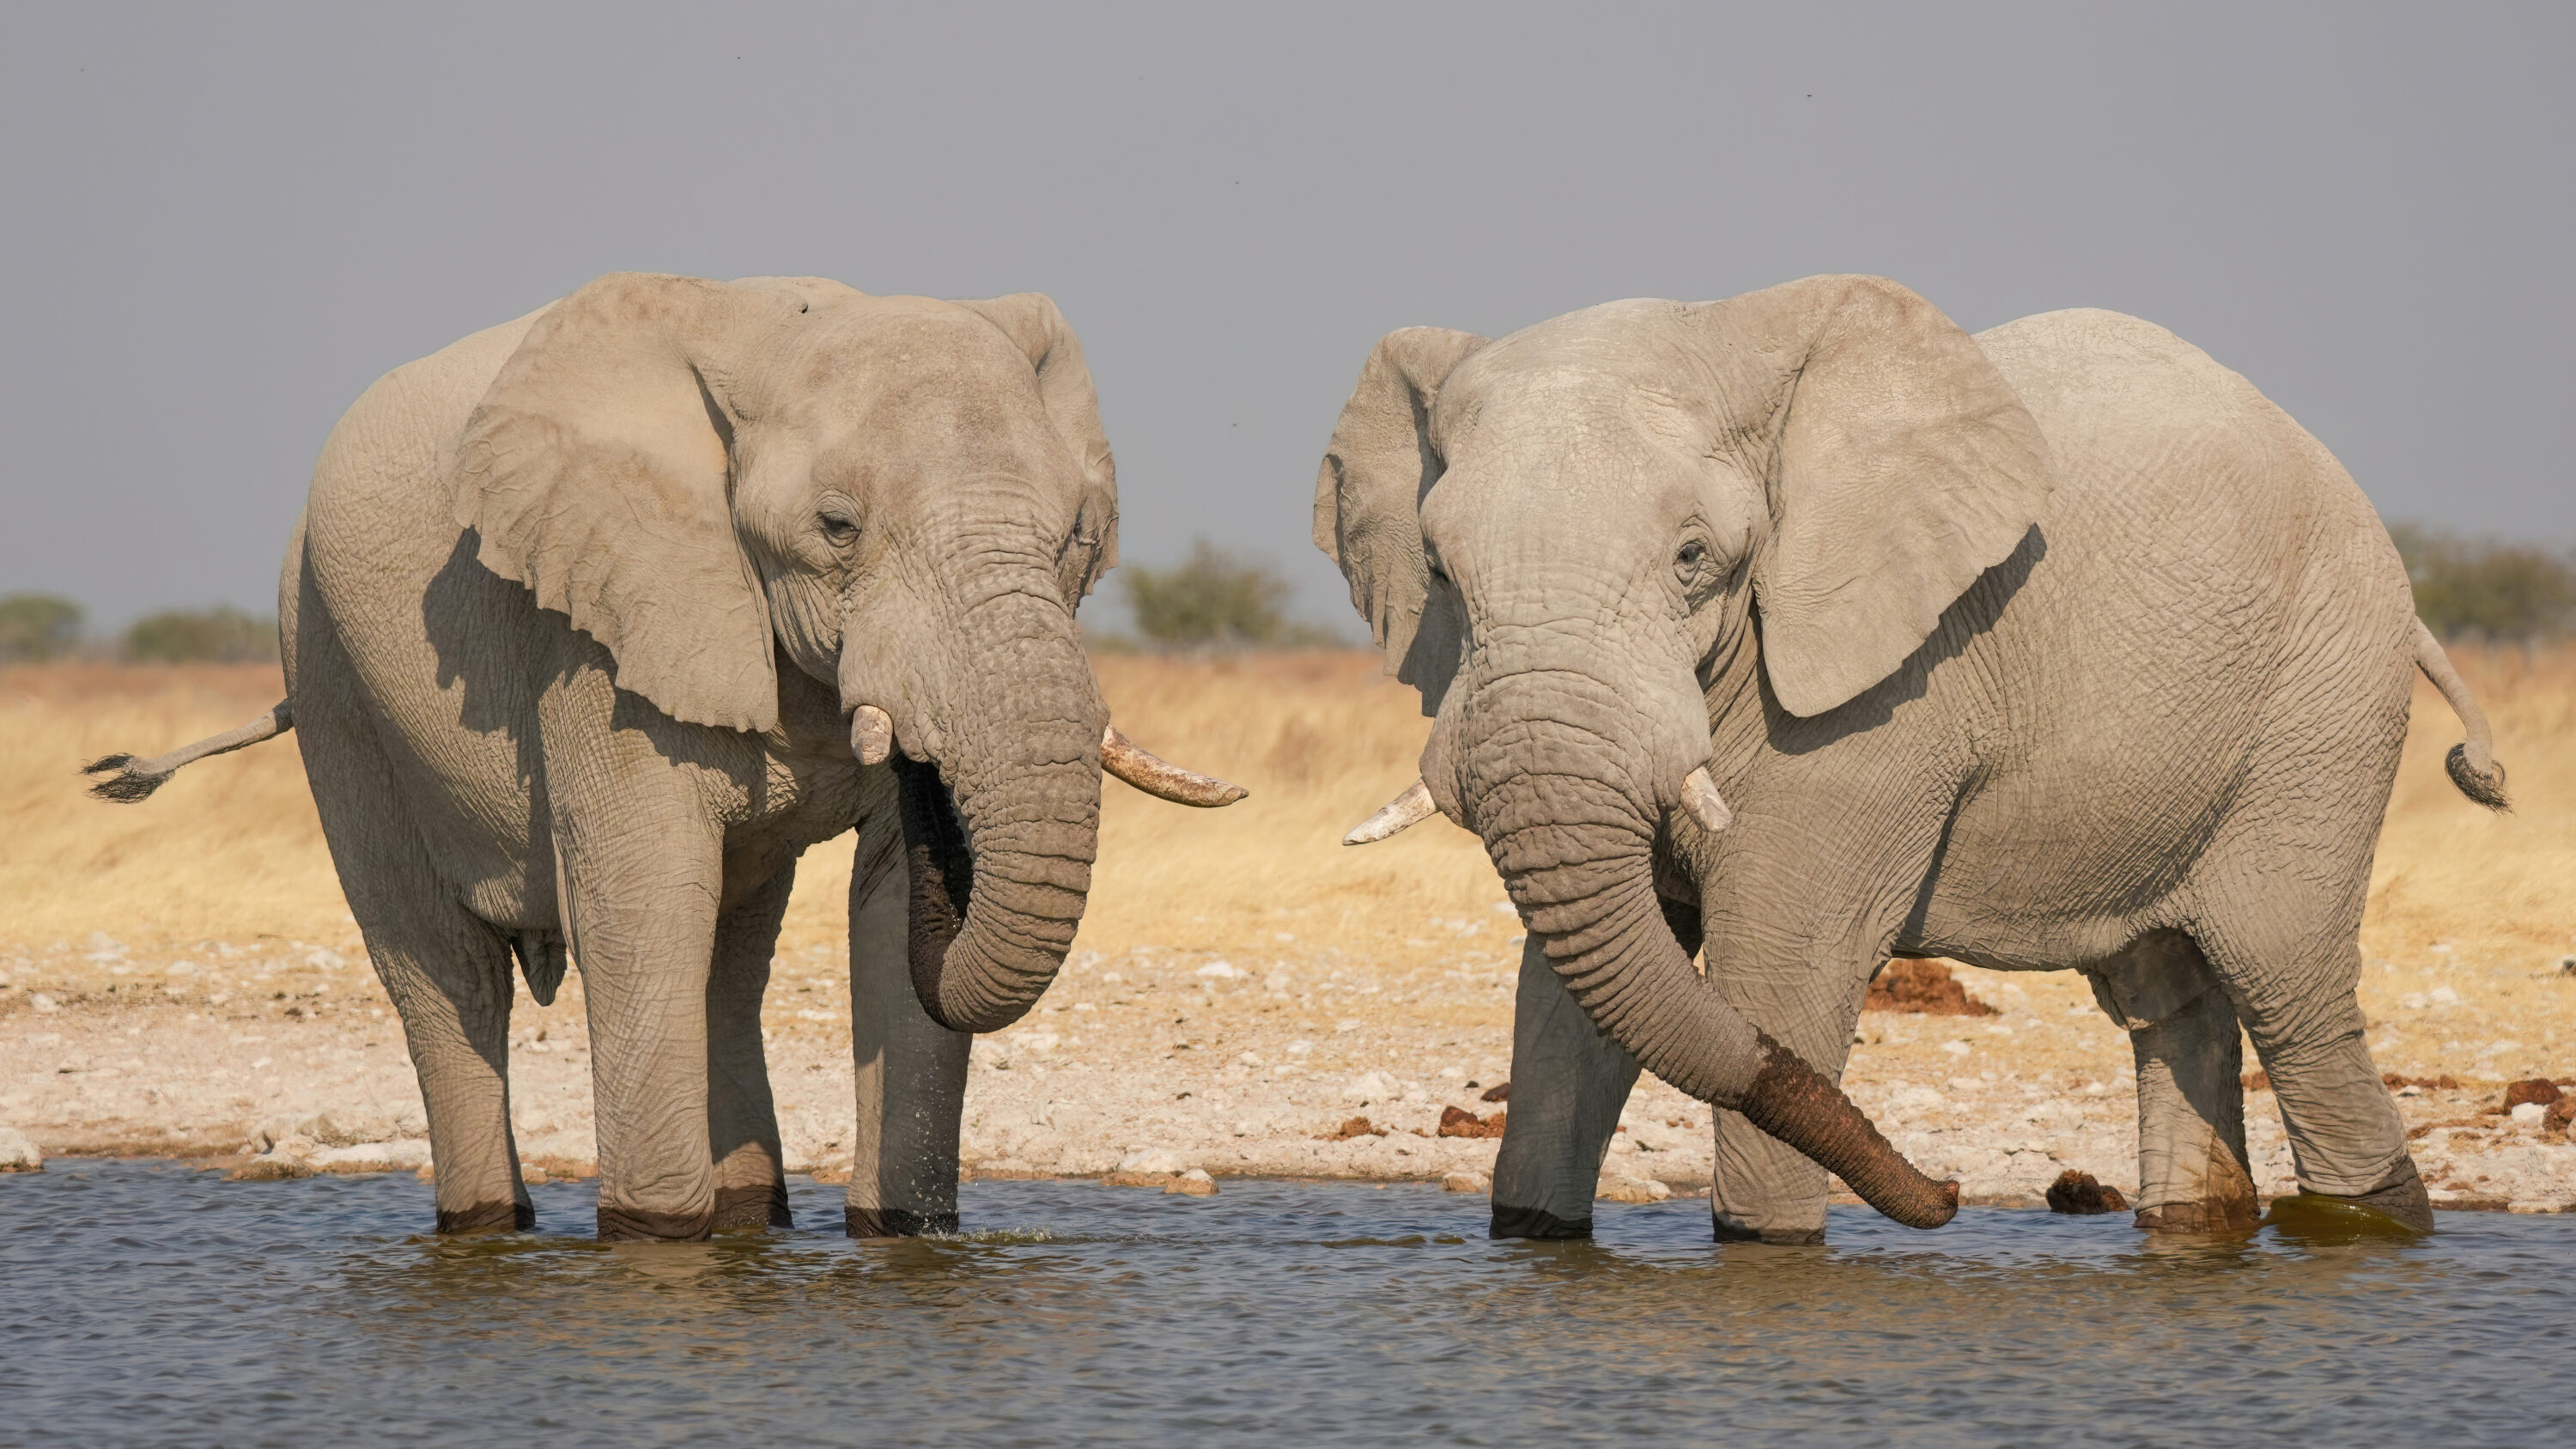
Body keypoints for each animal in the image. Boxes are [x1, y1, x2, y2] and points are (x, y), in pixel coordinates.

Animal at [89, 272, 1242, 1240]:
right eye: (836, 526)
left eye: (1077, 535)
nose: (922, 772)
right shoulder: (594, 625)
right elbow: (640, 893)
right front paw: (654, 1239)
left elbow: (876, 913)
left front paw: (902, 1233)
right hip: (330, 666)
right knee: (444, 969)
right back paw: (490, 1220)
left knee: (724, 956)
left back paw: (750, 1213)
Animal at [1315, 275, 2506, 1243]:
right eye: (1440, 569)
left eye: (1693, 557)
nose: (1948, 1194)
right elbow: (1573, 1004)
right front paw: (1536, 1235)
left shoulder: (1882, 704)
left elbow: (1779, 971)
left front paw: (1768, 1247)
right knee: (2174, 1001)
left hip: (2323, 704)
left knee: (2290, 991)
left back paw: (2377, 1222)